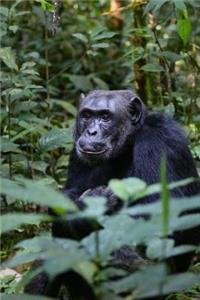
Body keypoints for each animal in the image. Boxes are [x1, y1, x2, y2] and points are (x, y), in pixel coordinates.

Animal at [25, 90, 199, 298]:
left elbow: (159, 217)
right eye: (87, 115)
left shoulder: (160, 141)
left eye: (105, 117)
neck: (128, 143)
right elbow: (69, 193)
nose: (91, 132)